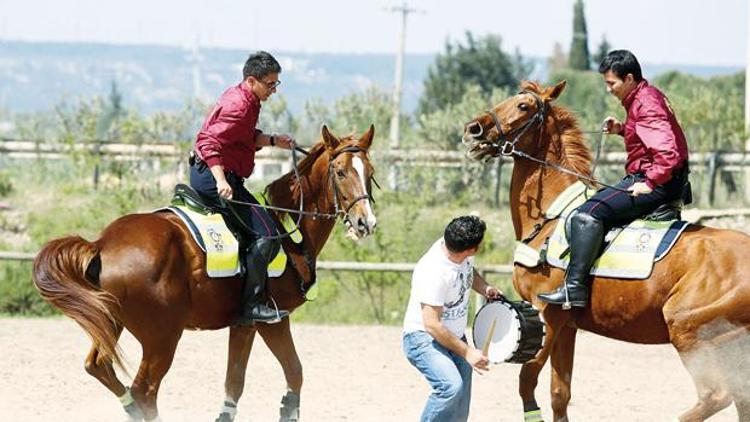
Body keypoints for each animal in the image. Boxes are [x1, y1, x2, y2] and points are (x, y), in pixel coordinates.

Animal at [33, 125, 378, 422]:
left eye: (370, 173)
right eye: (340, 172)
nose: (366, 223)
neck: (290, 232)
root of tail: (101, 245)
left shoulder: (243, 323)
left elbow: (243, 380)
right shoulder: (269, 320)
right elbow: (288, 373)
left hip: (111, 321)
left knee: (100, 367)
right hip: (162, 337)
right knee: (145, 390)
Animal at [464, 81, 750, 420]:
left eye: (523, 106)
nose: (473, 128)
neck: (551, 216)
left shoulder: (546, 314)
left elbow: (526, 380)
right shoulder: (567, 326)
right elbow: (560, 393)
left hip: (691, 334)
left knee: (715, 395)